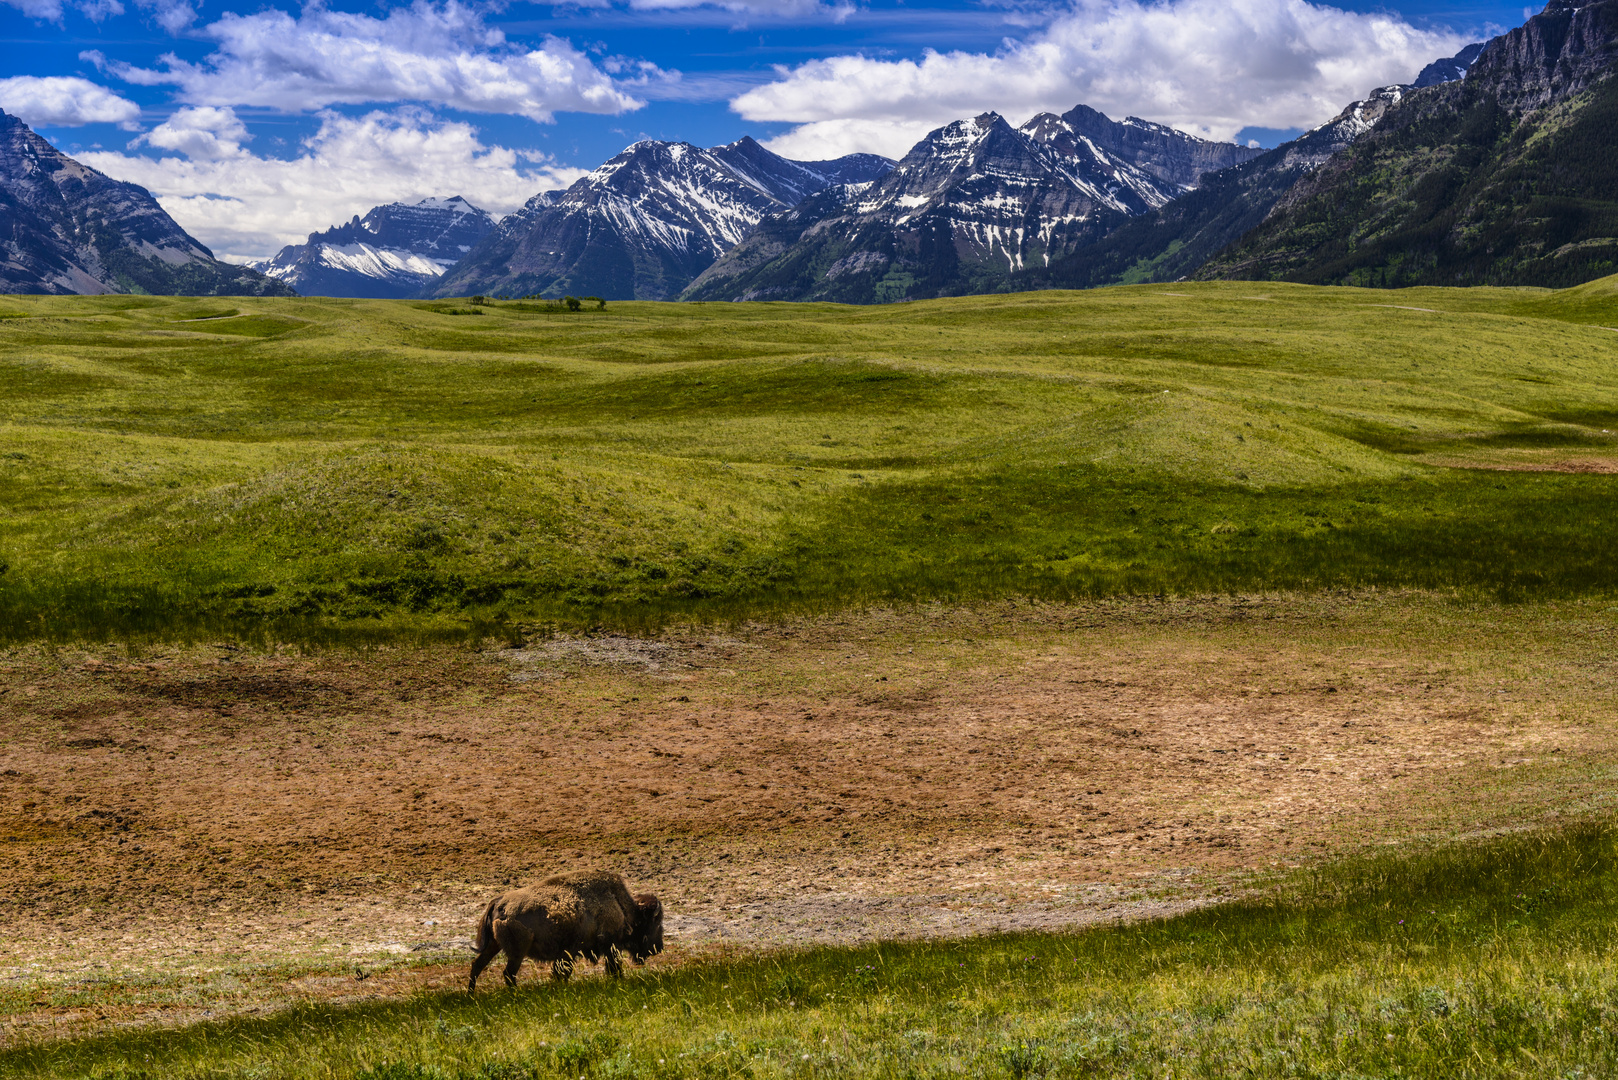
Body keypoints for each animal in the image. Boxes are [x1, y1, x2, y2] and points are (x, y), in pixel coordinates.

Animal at [469, 874, 663, 990]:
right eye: (655, 923)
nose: (659, 948)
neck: (621, 906)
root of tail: (499, 902)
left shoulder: (569, 953)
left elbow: (561, 972)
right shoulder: (608, 947)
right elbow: (613, 968)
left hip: (494, 946)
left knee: (477, 965)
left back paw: (471, 995)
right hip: (517, 952)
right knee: (508, 973)